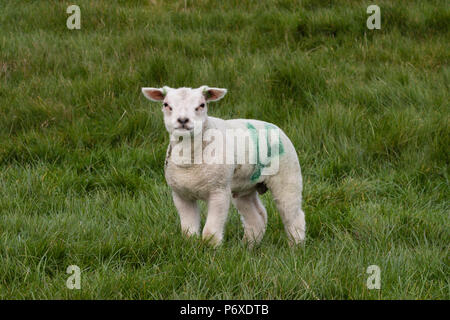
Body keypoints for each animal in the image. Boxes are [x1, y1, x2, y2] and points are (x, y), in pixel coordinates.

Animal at [143, 85, 306, 248]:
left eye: (202, 105)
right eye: (166, 105)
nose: (183, 120)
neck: (189, 160)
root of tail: (273, 125)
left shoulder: (218, 191)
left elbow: (210, 232)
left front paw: (211, 248)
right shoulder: (181, 195)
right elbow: (188, 231)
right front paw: (191, 246)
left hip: (288, 176)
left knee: (293, 215)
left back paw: (296, 246)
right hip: (244, 187)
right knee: (256, 217)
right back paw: (248, 246)